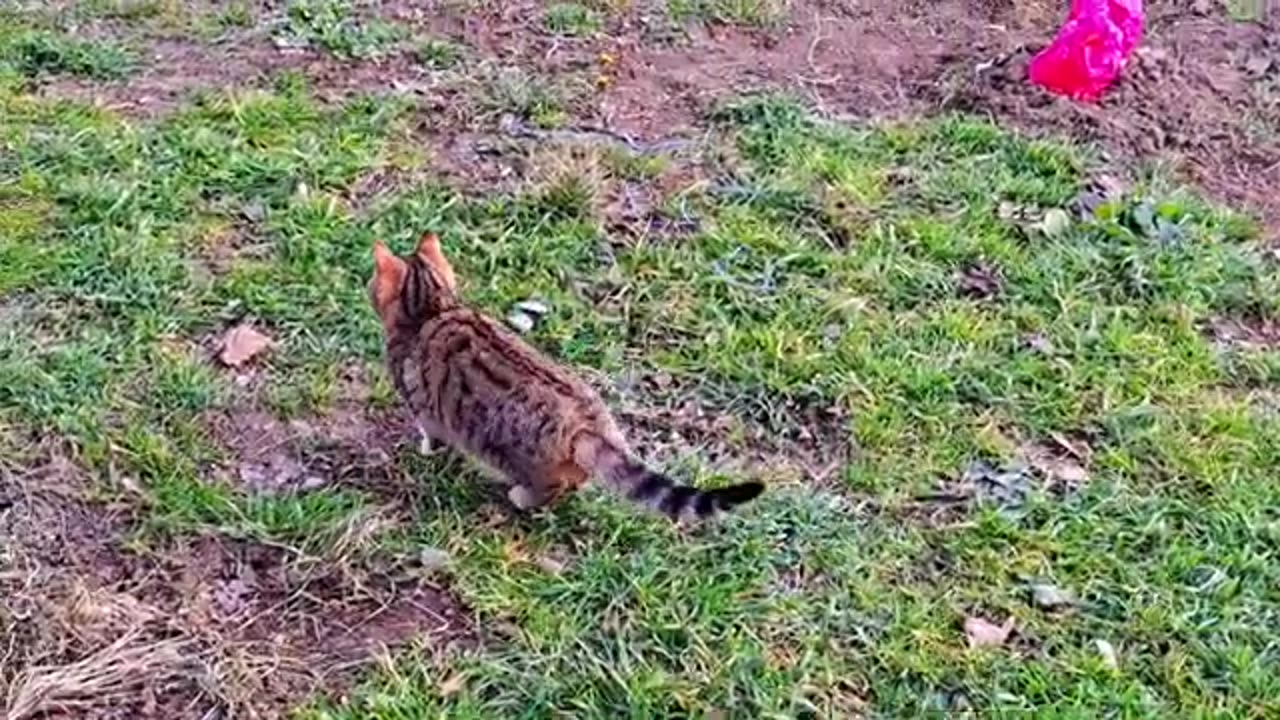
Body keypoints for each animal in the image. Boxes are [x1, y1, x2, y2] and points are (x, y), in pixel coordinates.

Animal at [373, 233, 762, 517]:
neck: (433, 307)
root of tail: (588, 423)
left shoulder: (423, 407)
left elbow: (432, 436)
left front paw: (425, 451)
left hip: (517, 456)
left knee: (552, 488)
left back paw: (520, 497)